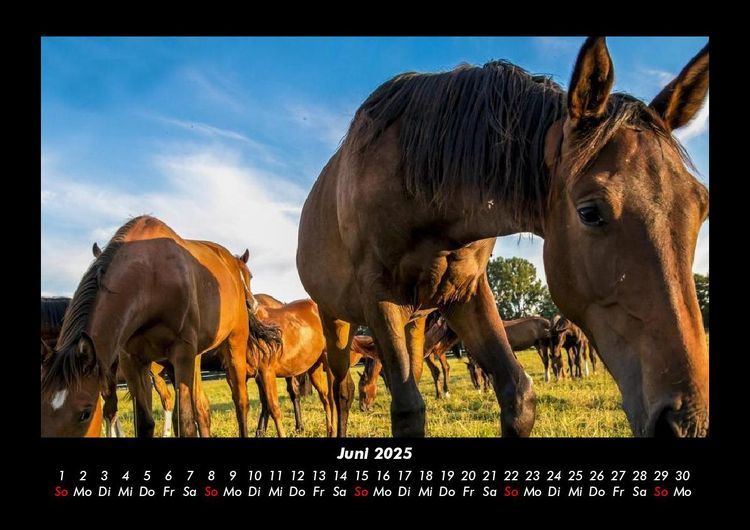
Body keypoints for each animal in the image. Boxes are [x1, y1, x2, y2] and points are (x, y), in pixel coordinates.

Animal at [41, 216, 263, 437]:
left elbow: (185, 422)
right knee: (201, 407)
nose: (252, 304)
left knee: (240, 402)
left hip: (234, 345)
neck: (151, 279)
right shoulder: (132, 361)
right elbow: (144, 422)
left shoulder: (182, 354)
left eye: (85, 413)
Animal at [297, 37, 709, 437]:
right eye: (590, 212)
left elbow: (518, 396)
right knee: (341, 389)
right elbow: (408, 412)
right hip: (337, 320)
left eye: (701, 205)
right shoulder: (379, 299)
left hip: (414, 321)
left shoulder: (466, 293)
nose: (685, 422)